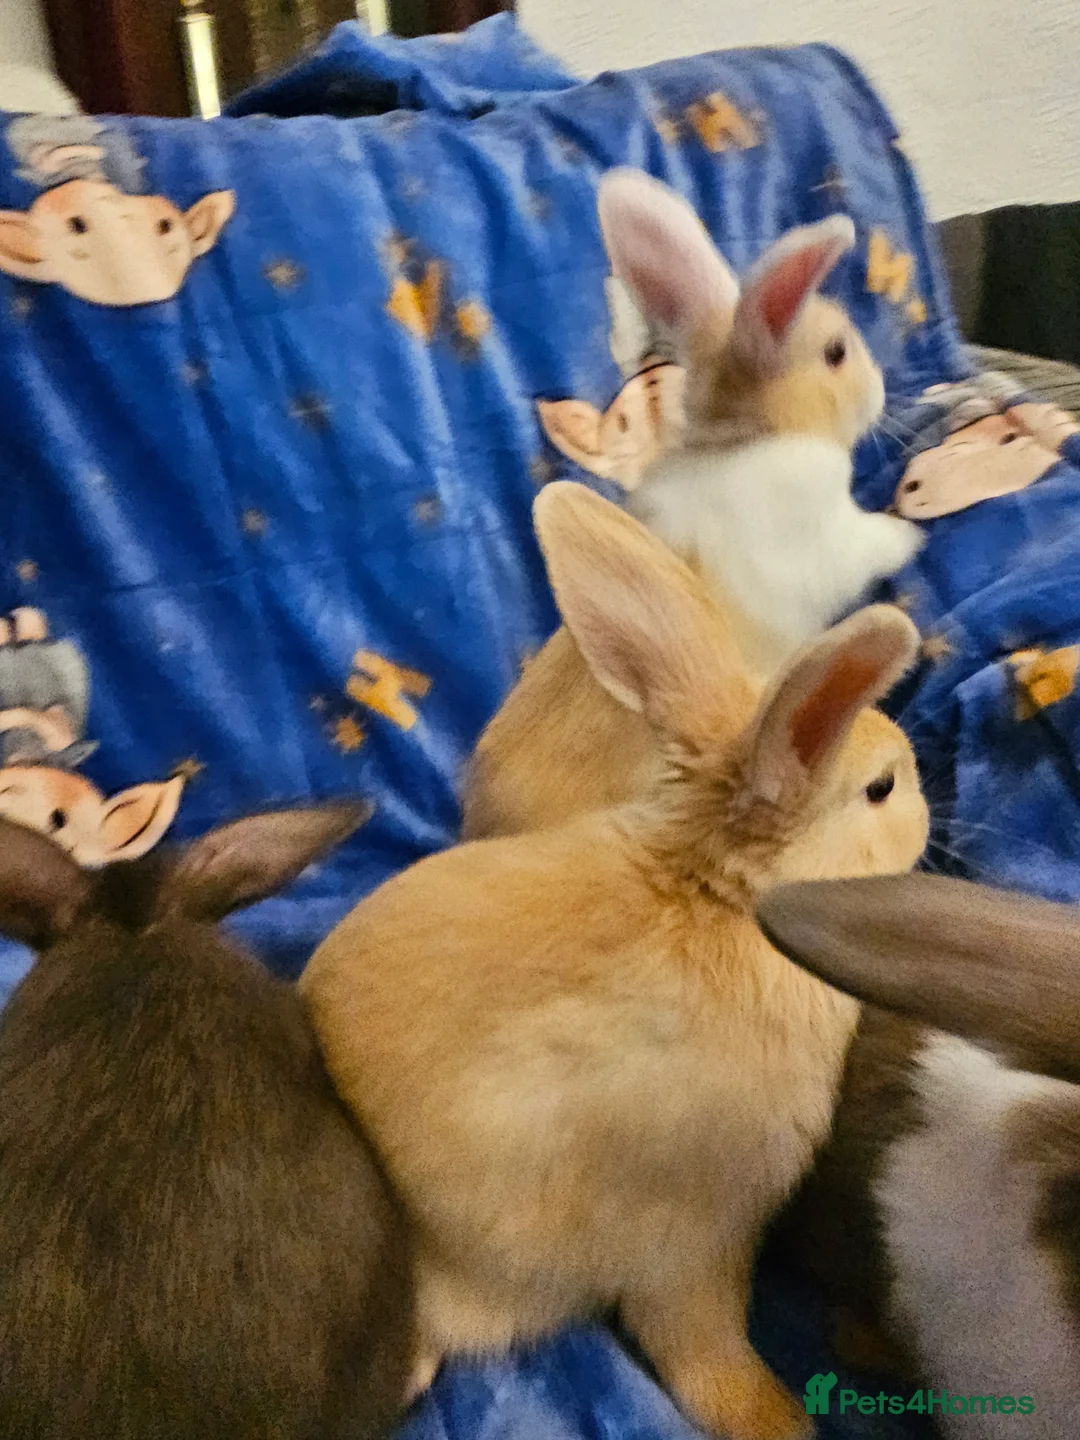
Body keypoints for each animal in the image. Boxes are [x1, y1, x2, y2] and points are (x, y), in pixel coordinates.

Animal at [300, 481, 929, 1440]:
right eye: (882, 790)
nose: (930, 809)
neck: (721, 898)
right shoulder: (703, 1233)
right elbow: (699, 1340)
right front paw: (778, 1419)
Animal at [462, 169, 922, 841]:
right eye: (836, 353)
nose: (882, 390)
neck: (748, 435)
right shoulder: (830, 539)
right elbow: (869, 543)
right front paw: (911, 533)